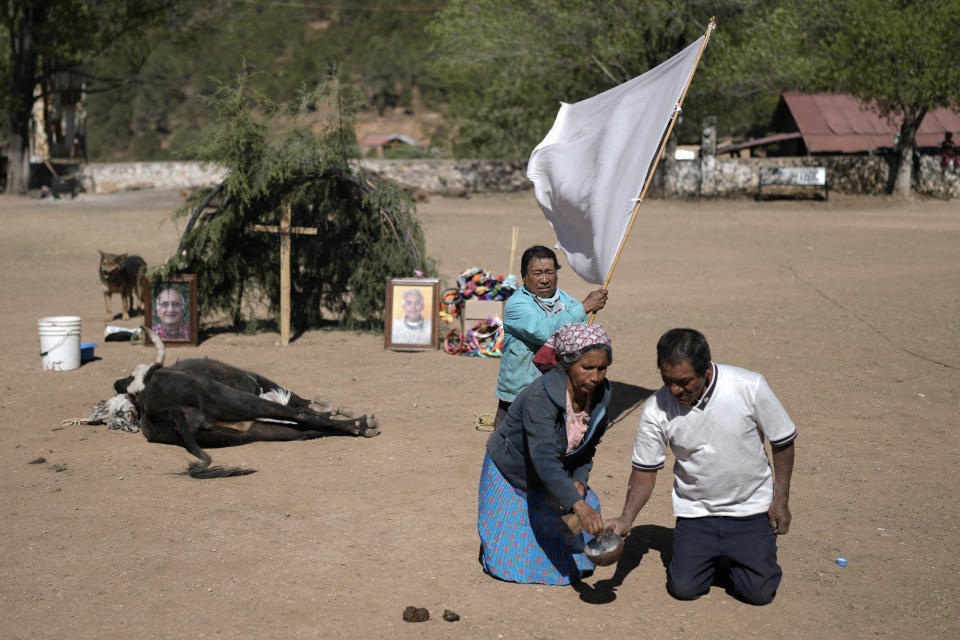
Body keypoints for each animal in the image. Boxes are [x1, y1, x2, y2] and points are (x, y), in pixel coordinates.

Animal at [115, 330, 378, 476]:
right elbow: (301, 403)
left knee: (306, 429)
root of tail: (157, 406)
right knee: (303, 417)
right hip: (236, 401)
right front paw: (328, 406)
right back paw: (363, 423)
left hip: (251, 431)